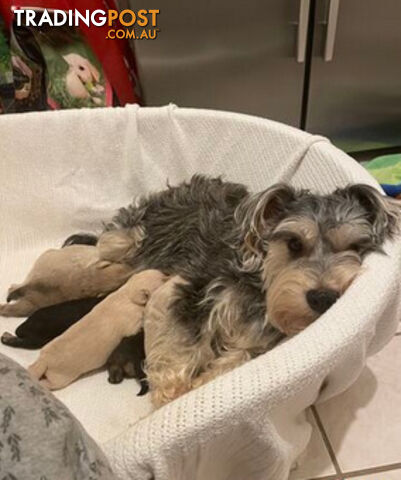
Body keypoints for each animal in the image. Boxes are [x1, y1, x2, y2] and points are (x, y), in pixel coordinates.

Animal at [28, 270, 166, 390]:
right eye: (163, 279)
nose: (168, 274)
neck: (128, 294)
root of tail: (44, 360)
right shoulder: (133, 325)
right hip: (59, 379)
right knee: (48, 383)